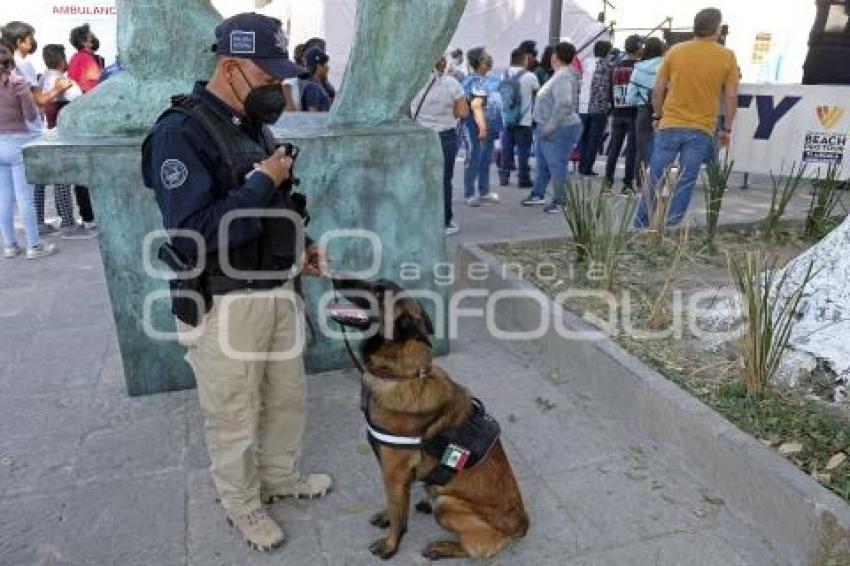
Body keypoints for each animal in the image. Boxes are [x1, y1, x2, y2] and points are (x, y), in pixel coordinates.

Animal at [330, 280, 524, 564]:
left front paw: (391, 545)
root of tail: (522, 526)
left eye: (378, 292)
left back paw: (442, 547)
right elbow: (396, 505)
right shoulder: (395, 475)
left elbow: (399, 515)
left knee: (474, 549)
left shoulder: (393, 470)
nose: (334, 279)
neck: (400, 375)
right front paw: (388, 517)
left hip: (447, 505)